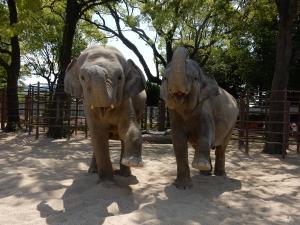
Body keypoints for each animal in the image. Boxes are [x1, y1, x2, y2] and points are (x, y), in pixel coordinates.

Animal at [64, 44, 146, 182]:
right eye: (82, 77)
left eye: (120, 77)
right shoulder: (87, 105)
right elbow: (98, 133)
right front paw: (106, 182)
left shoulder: (125, 98)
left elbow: (127, 127)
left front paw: (134, 163)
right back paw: (93, 171)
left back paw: (125, 173)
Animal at [161, 46, 238, 189]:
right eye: (164, 79)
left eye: (195, 78)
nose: (187, 50)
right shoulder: (174, 115)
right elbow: (178, 140)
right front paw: (182, 186)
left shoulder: (205, 108)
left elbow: (207, 133)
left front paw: (199, 165)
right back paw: (205, 174)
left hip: (233, 123)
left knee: (222, 147)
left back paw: (219, 174)